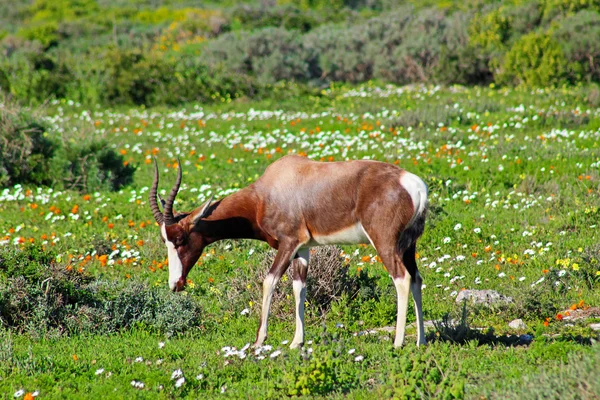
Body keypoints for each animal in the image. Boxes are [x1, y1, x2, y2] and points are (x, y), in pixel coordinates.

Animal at [149, 155, 426, 348]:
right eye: (165, 240)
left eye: (180, 239)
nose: (175, 284)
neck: (267, 191)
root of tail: (415, 186)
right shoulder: (302, 250)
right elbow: (298, 288)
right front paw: (296, 342)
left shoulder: (289, 242)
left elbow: (269, 281)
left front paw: (259, 341)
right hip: (408, 245)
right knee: (416, 279)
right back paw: (420, 340)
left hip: (384, 242)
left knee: (402, 278)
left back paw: (398, 343)